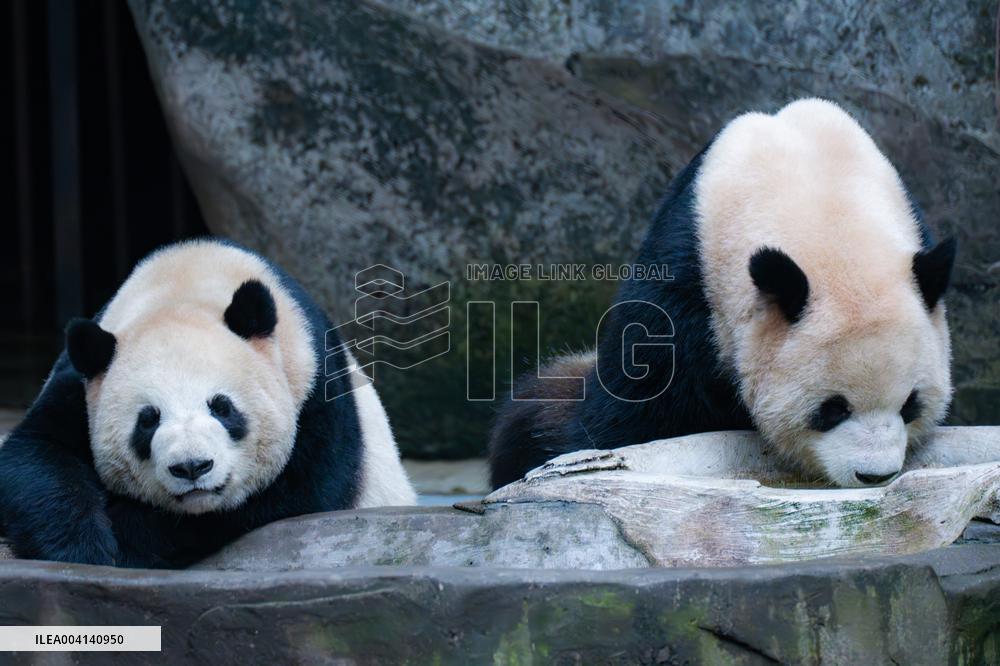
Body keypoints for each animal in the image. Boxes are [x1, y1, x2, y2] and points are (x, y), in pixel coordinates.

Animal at [0, 239, 415, 568]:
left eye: (222, 407)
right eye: (148, 420)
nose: (191, 467)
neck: (185, 285)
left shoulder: (312, 384)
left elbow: (289, 491)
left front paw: (127, 538)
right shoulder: (79, 384)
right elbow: (37, 453)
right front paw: (85, 547)